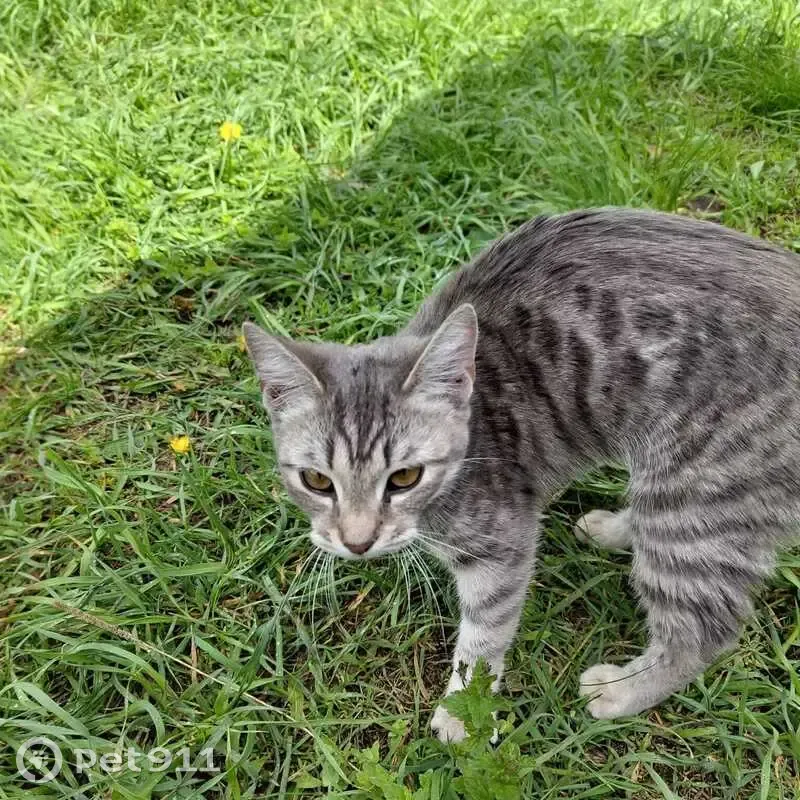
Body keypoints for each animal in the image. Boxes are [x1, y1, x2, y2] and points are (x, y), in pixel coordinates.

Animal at [242, 209, 800, 742]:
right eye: (317, 482)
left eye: (405, 478)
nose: (356, 543)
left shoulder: (502, 544)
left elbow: (483, 637)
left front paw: (464, 714)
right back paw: (616, 528)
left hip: (694, 503)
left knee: (703, 632)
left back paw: (623, 691)